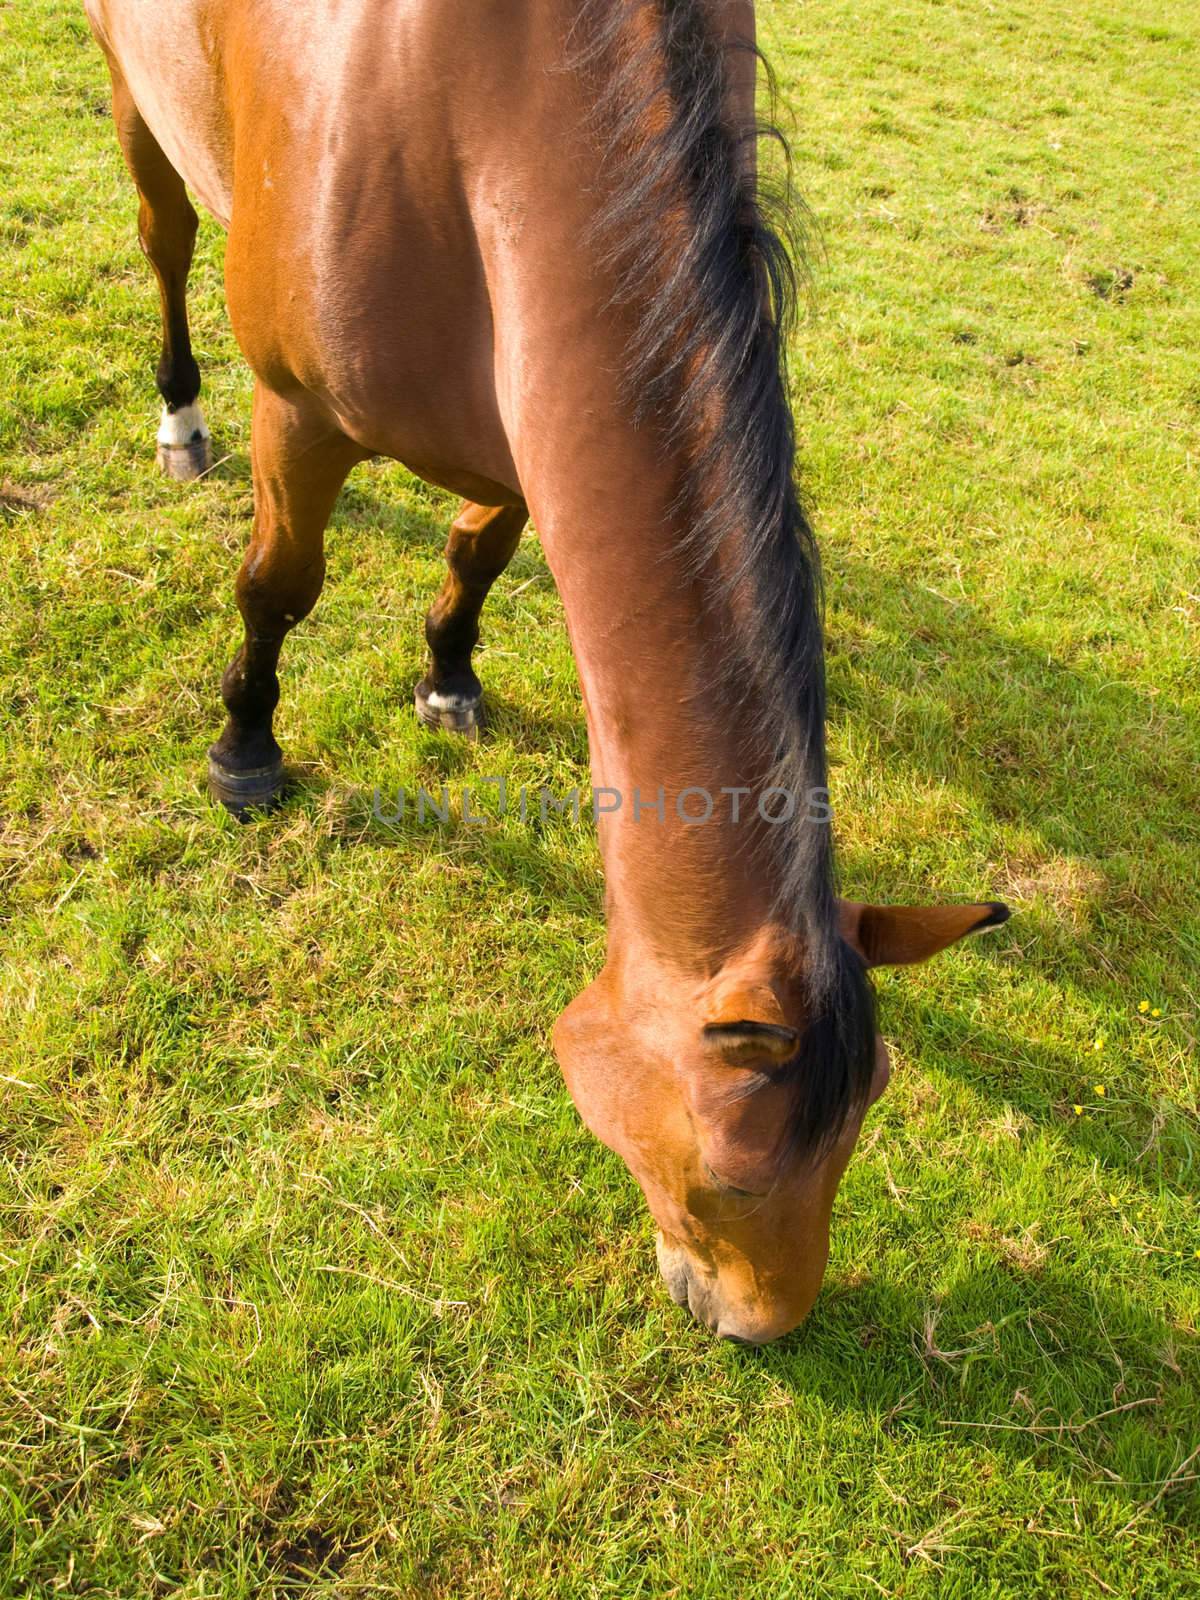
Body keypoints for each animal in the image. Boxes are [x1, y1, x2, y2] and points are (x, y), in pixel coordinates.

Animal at [82, 0, 1004, 1337]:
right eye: (734, 1176)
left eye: (860, 1130)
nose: (762, 1327)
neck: (490, 116)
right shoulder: (300, 416)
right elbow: (279, 588)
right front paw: (245, 745)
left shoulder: (524, 420)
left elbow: (480, 548)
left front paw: (449, 675)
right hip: (133, 101)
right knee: (164, 237)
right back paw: (177, 415)